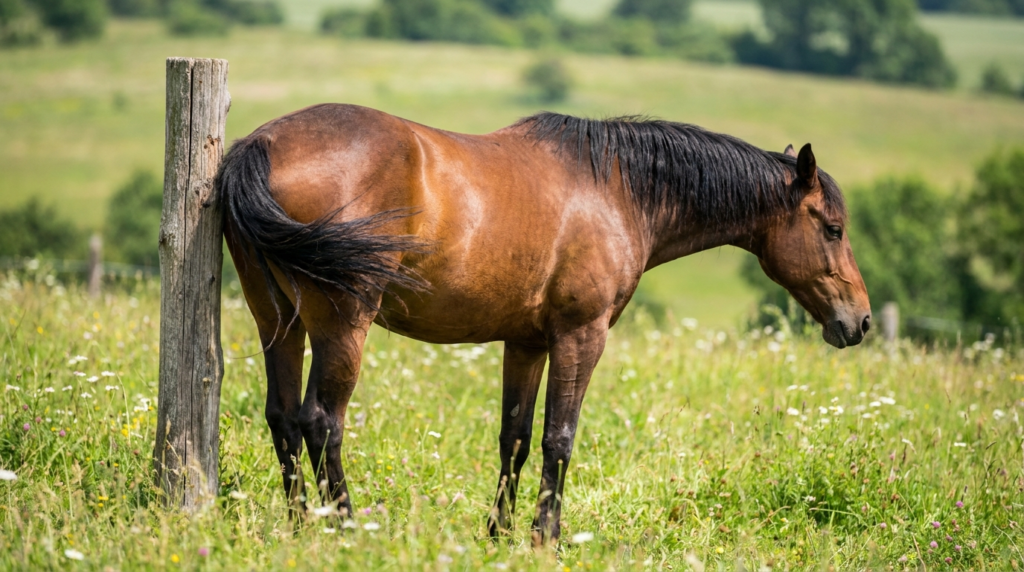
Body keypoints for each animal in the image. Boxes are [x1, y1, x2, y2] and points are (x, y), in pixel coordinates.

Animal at [216, 104, 871, 544]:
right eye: (833, 228)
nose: (859, 321)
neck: (617, 190)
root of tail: (263, 142)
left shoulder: (526, 342)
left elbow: (516, 437)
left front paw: (499, 533)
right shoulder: (581, 336)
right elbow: (560, 437)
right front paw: (545, 537)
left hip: (279, 322)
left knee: (283, 419)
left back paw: (302, 525)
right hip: (343, 325)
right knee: (321, 422)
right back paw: (346, 529)